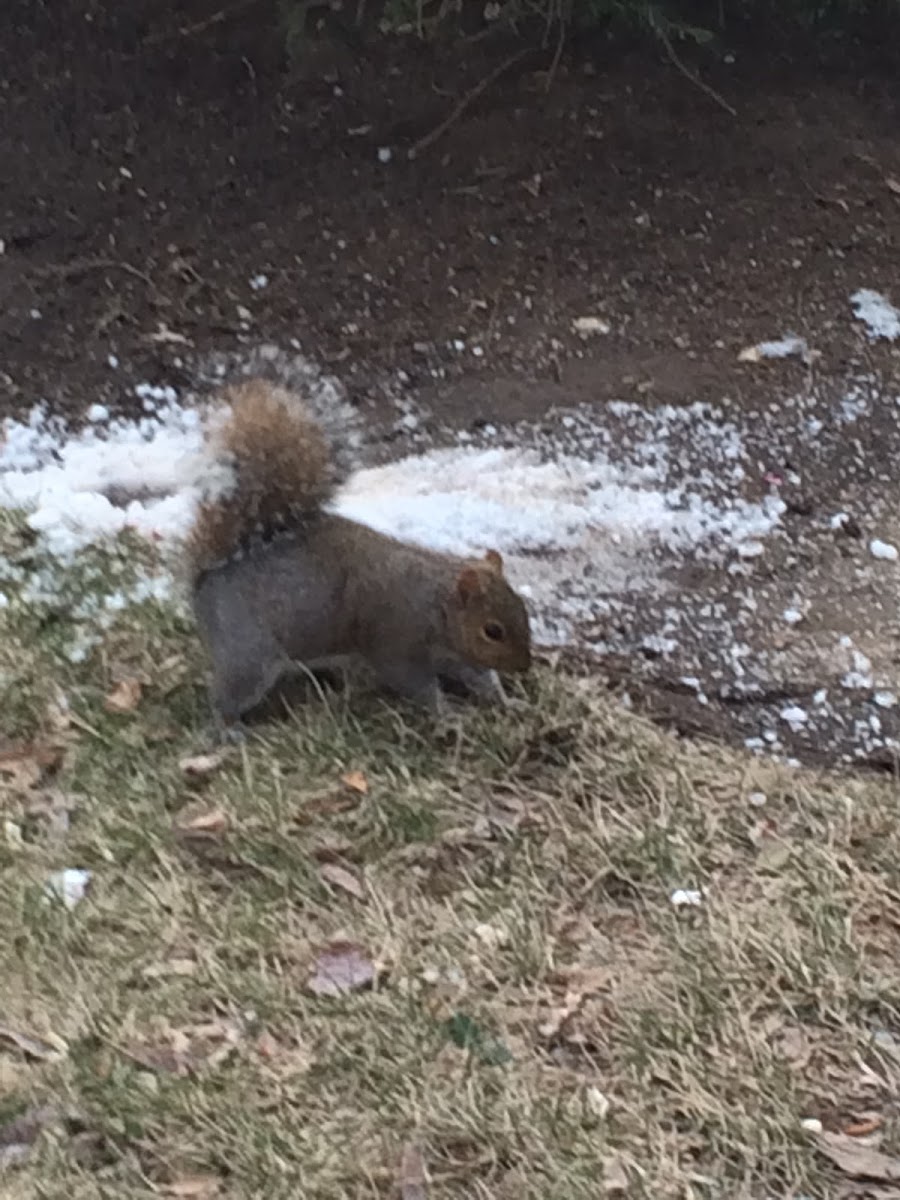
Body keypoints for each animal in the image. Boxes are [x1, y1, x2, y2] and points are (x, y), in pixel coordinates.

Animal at [186, 376, 532, 729]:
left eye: (524, 609)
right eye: (492, 631)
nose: (525, 666)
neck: (435, 605)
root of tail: (207, 578)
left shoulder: (457, 654)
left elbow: (479, 676)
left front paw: (508, 700)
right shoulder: (395, 642)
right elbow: (415, 683)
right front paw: (447, 714)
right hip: (249, 653)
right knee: (226, 697)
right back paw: (229, 729)